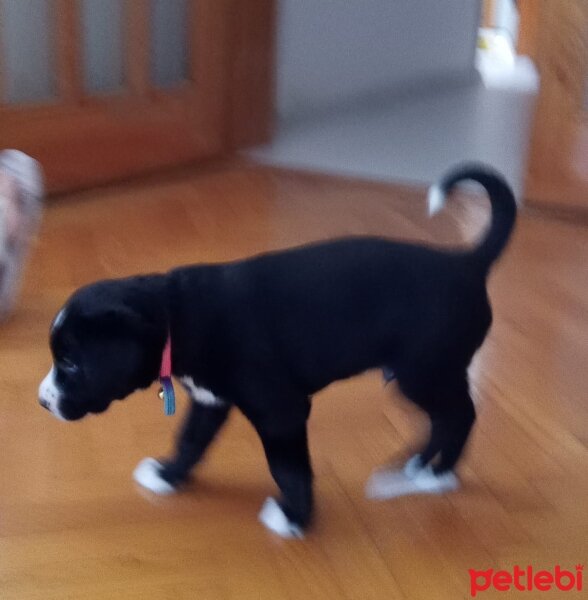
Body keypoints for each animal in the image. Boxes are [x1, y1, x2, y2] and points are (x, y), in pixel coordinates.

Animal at [39, 164, 516, 540]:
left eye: (71, 363)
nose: (42, 401)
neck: (177, 314)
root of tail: (466, 263)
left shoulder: (281, 413)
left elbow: (289, 468)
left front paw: (294, 517)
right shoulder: (210, 400)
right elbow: (191, 440)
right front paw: (169, 474)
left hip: (426, 371)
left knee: (460, 416)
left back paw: (435, 475)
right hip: (422, 375)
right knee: (444, 419)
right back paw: (416, 466)